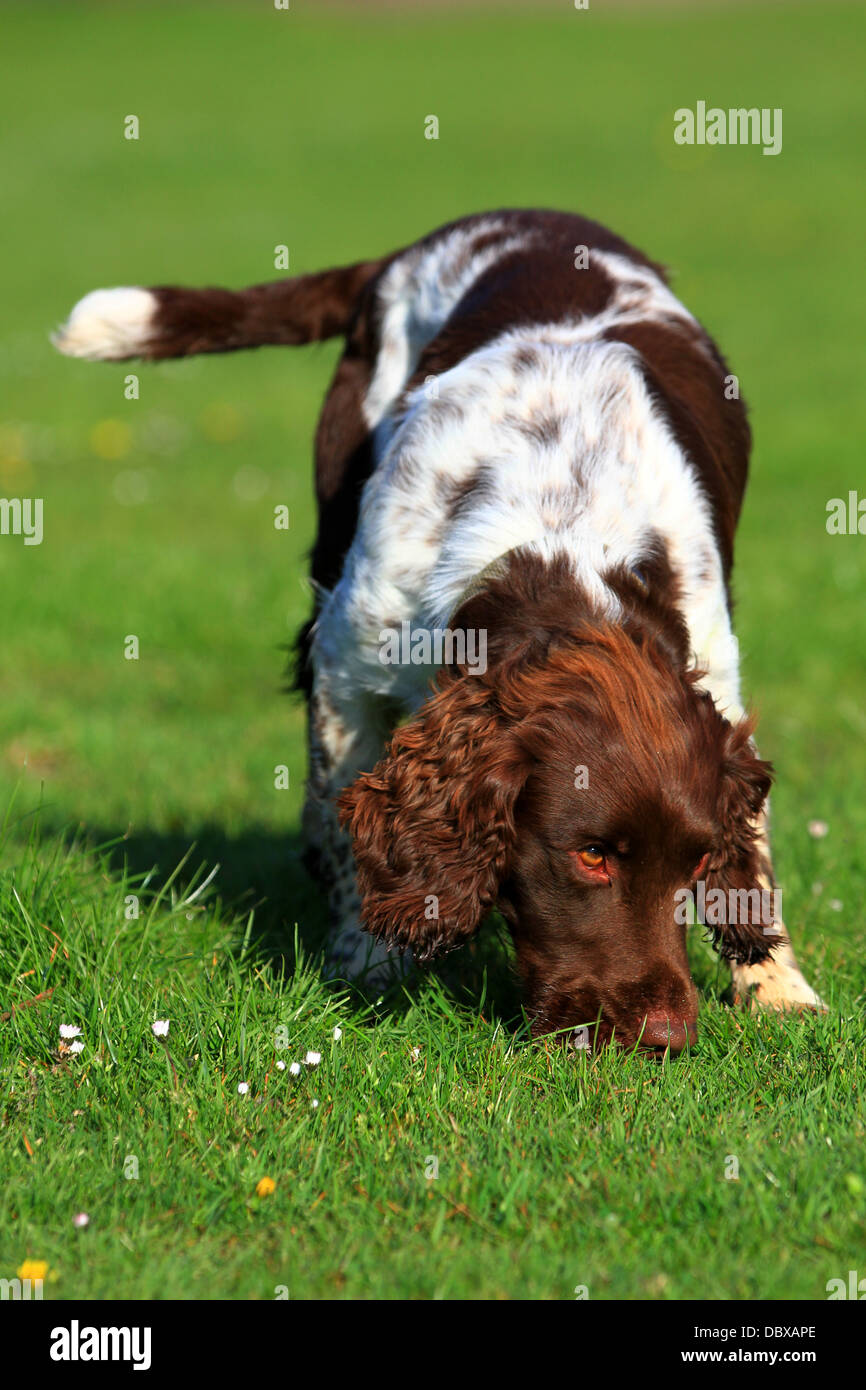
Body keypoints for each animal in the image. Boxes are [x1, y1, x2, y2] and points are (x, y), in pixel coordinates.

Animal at [55, 205, 828, 1050]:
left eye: (694, 864)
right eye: (591, 855)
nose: (666, 1038)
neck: (561, 532)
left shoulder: (712, 665)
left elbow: (754, 846)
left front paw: (777, 986)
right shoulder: (348, 661)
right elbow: (341, 813)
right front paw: (368, 962)